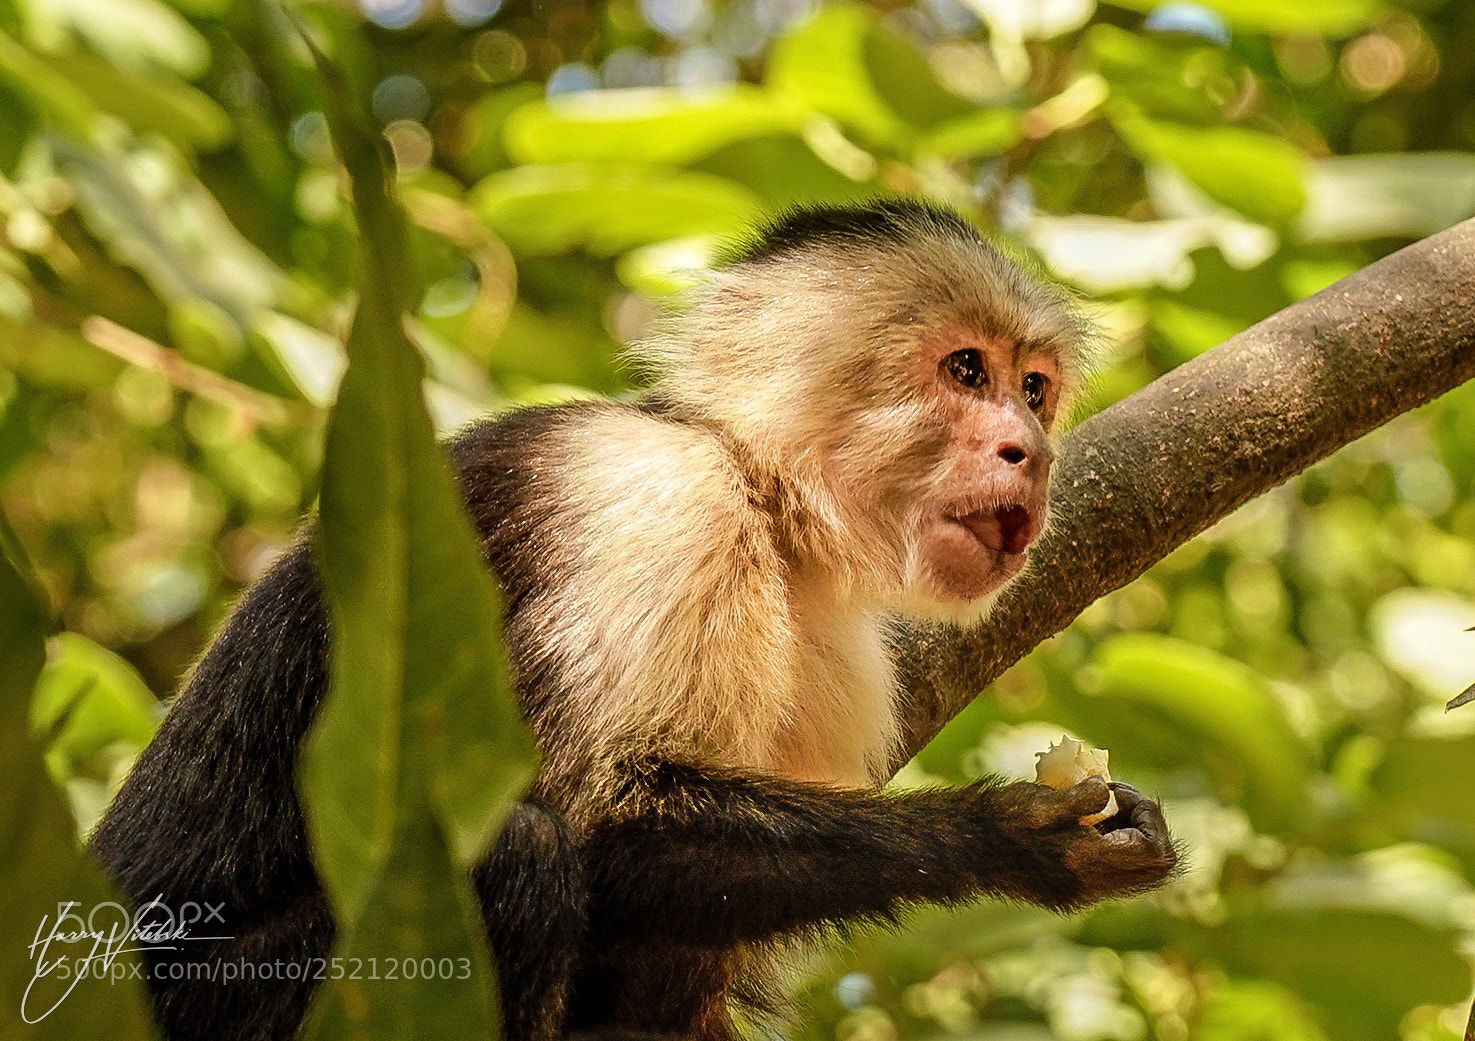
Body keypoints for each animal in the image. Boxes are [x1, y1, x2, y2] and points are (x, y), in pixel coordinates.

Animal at [90, 198, 1177, 1041]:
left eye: (1031, 389)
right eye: (964, 372)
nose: (1030, 450)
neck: (763, 498)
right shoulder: (652, 504)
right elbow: (594, 817)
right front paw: (1009, 837)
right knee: (519, 855)